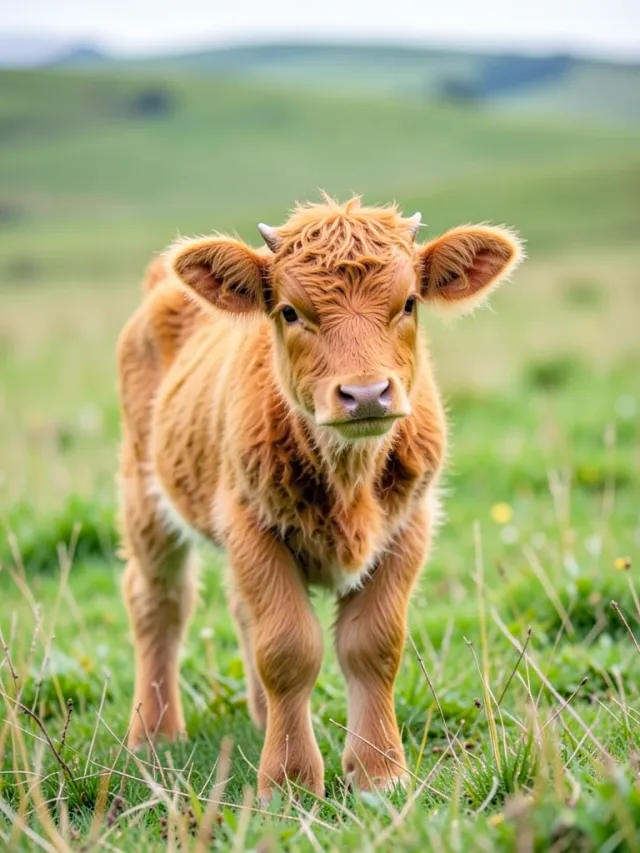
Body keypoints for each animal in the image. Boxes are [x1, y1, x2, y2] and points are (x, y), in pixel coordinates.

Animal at [116, 196, 523, 800]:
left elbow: (373, 646)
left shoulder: (409, 527)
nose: (365, 394)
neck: (349, 477)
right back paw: (154, 732)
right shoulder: (251, 525)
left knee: (237, 609)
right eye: (289, 312)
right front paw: (287, 780)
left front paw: (379, 771)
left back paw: (260, 716)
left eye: (408, 303)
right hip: (145, 496)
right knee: (158, 602)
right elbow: (288, 649)